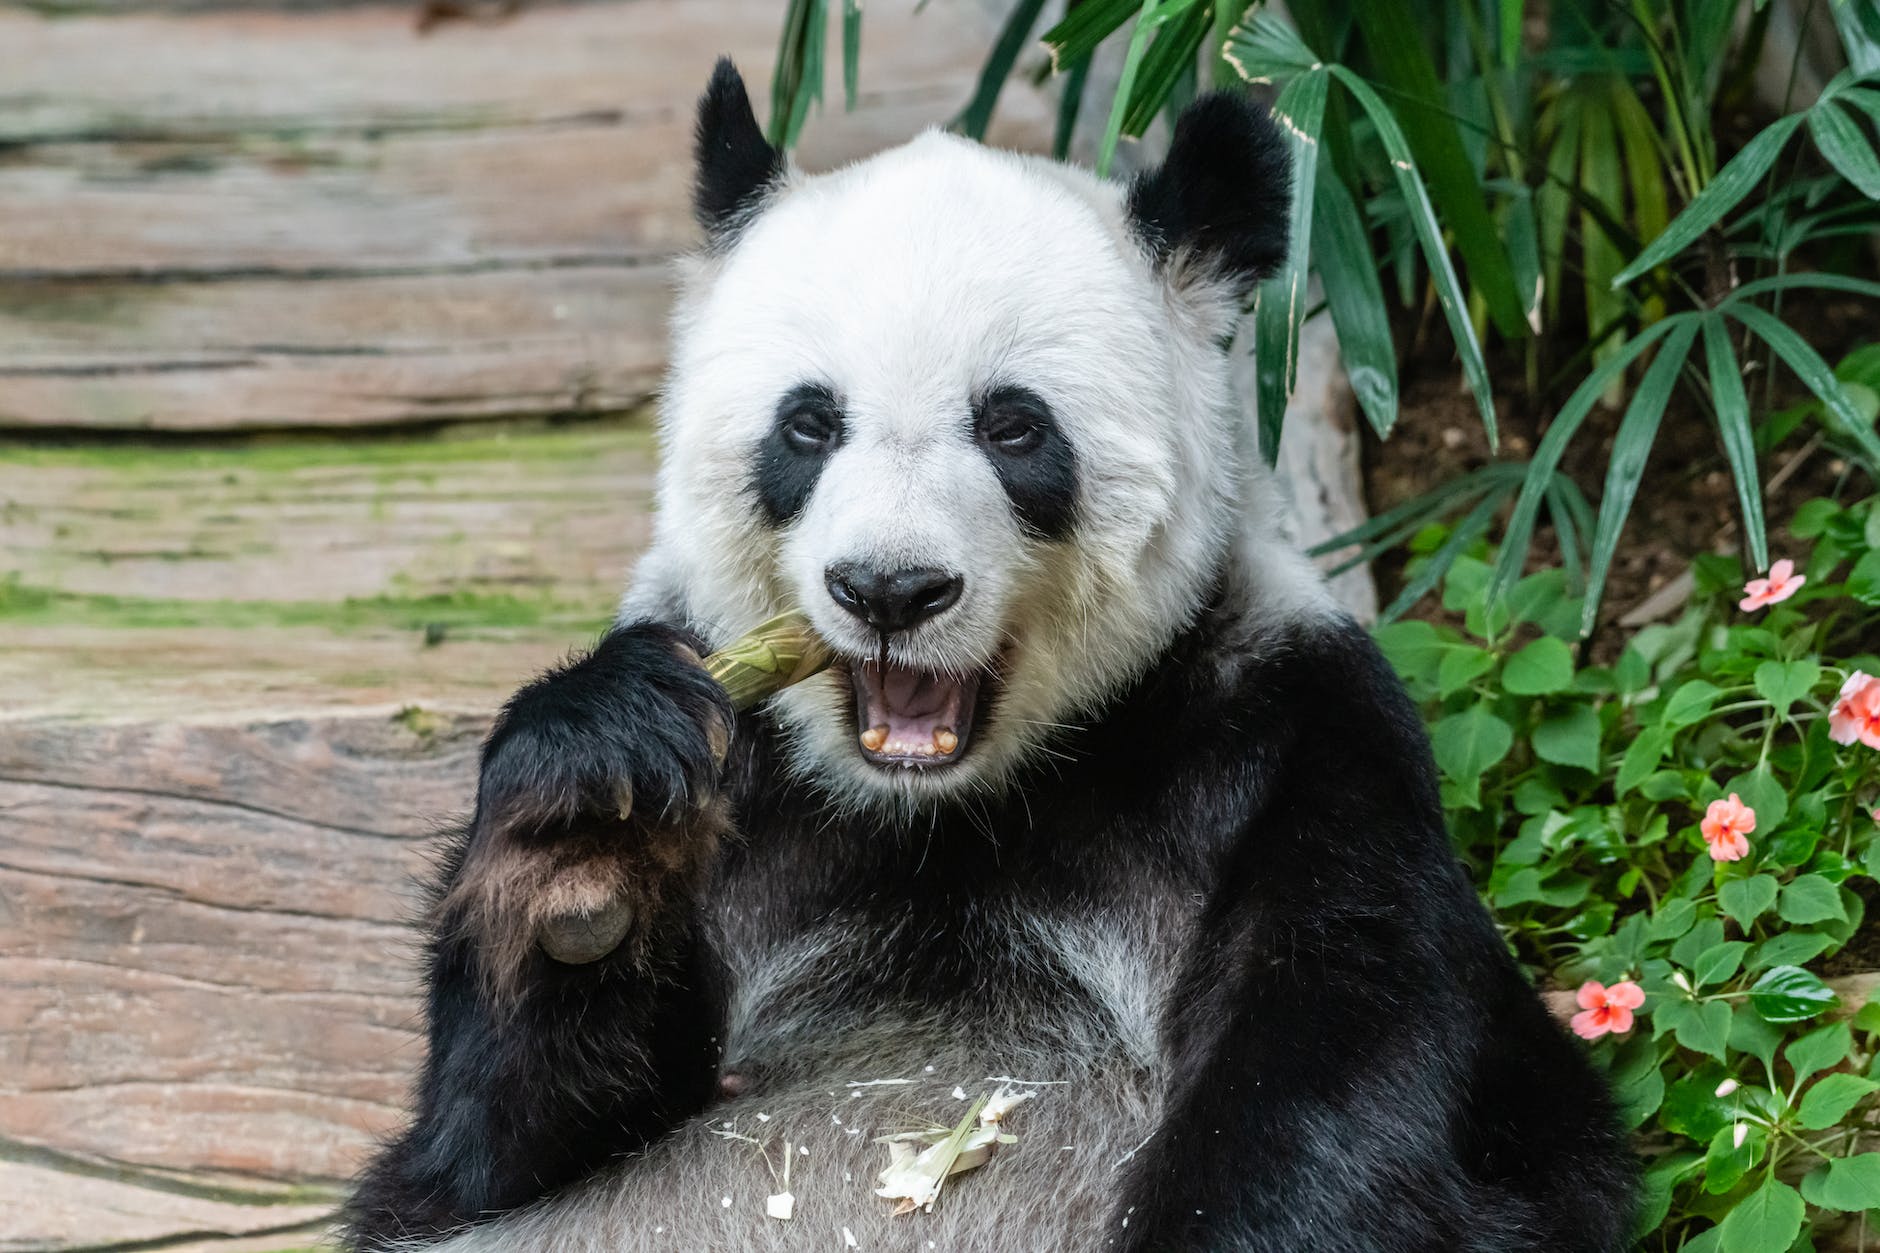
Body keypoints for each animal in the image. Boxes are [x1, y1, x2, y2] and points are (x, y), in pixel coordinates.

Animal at [345, 59, 1635, 1253]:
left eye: (1013, 426)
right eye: (807, 423)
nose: (888, 588)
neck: (947, 808)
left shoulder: (1292, 730)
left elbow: (1353, 1081)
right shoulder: (747, 778)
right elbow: (477, 1155)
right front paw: (587, 836)